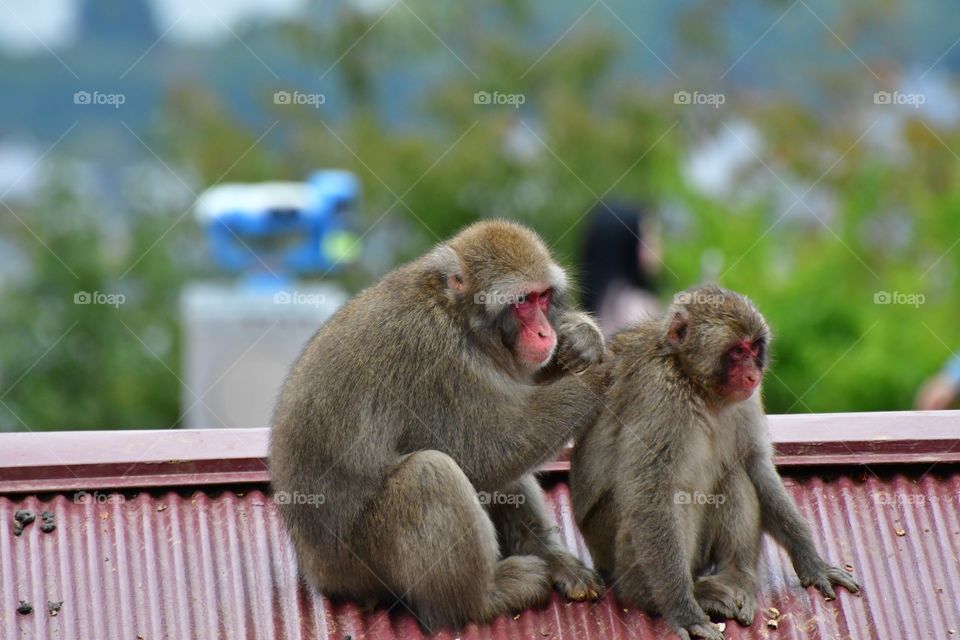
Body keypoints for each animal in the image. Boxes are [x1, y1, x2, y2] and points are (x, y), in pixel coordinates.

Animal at [268, 219, 608, 632]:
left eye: (542, 298)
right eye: (522, 302)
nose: (546, 333)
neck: (458, 315)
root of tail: (316, 570)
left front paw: (582, 336)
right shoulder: (437, 360)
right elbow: (488, 451)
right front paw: (605, 375)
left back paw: (547, 555)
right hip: (357, 563)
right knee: (430, 472)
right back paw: (479, 600)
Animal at [568, 286, 864, 640]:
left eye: (753, 348)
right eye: (736, 352)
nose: (752, 374)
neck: (696, 383)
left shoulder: (747, 400)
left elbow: (755, 465)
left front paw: (811, 561)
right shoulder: (660, 396)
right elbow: (651, 490)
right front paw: (683, 610)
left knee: (734, 474)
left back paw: (735, 575)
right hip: (609, 545)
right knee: (672, 499)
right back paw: (656, 595)